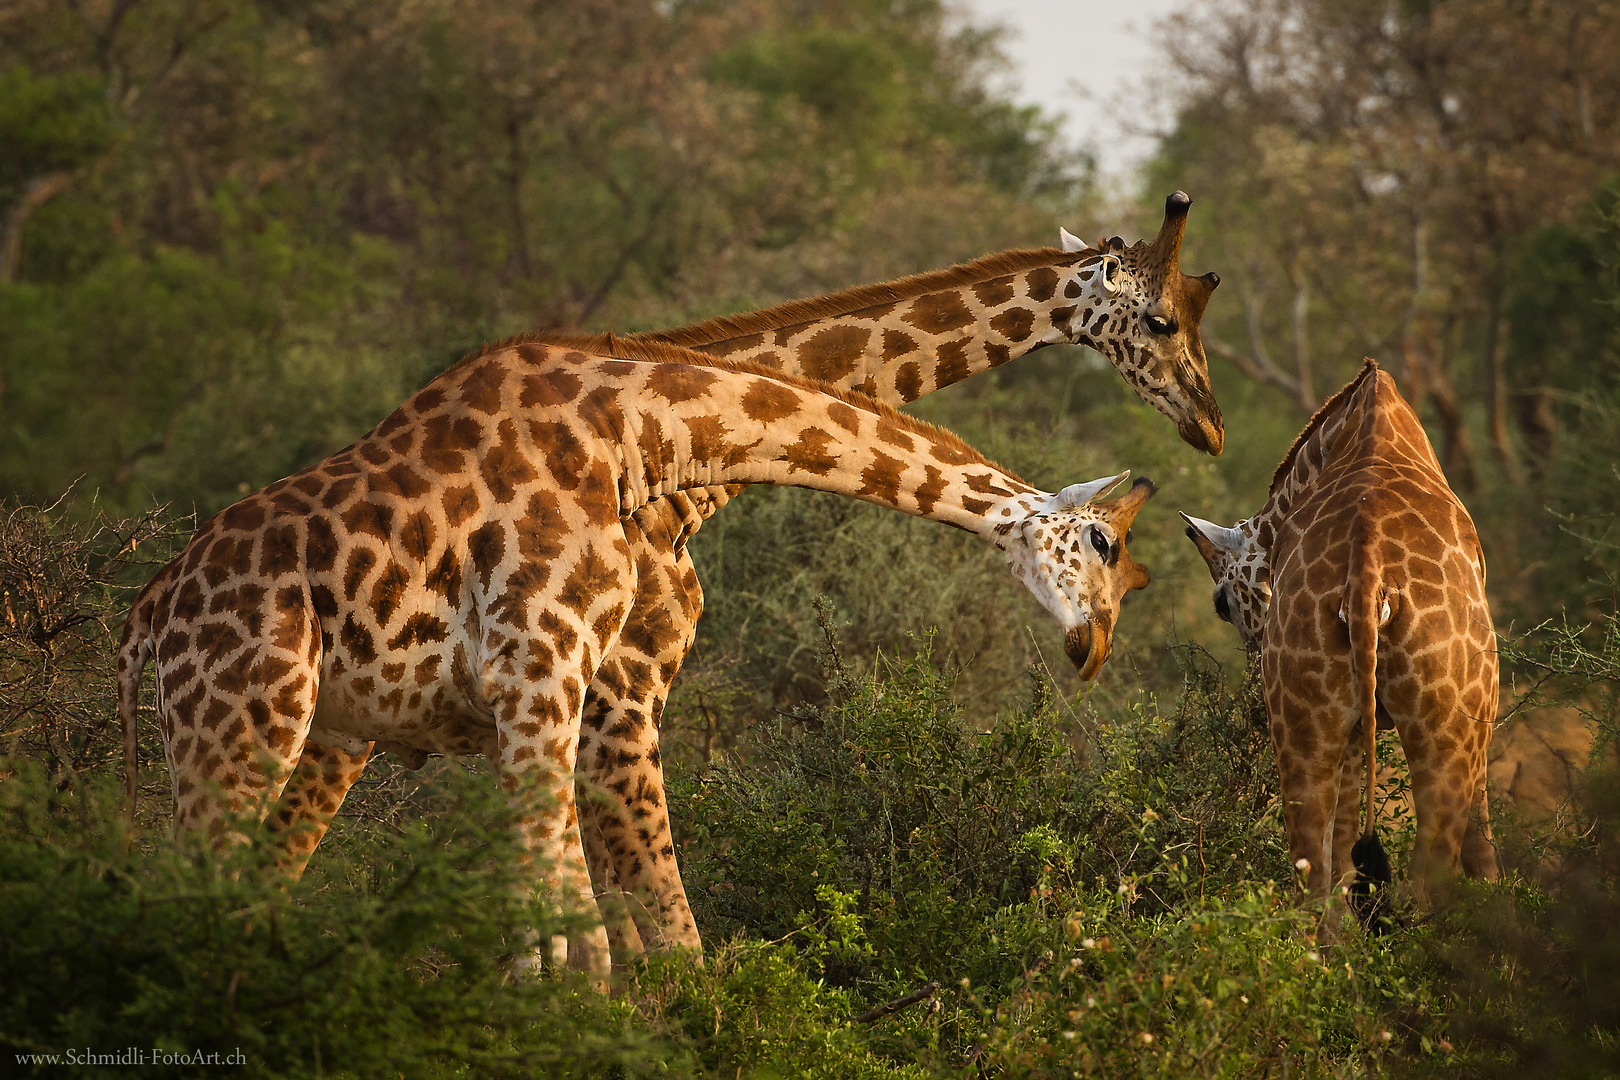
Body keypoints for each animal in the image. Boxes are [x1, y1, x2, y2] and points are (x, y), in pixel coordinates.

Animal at [119, 341, 1159, 984]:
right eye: (1105, 546)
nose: (1094, 650)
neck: (640, 431)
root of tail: (147, 614)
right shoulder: (541, 675)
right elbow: (571, 925)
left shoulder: (555, 695)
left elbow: (575, 919)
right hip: (246, 719)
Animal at [1179, 362, 1503, 913]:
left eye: (1221, 603)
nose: (1254, 671)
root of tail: (1367, 573)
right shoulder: (1481, 721)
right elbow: (1483, 851)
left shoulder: (1351, 723)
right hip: (1447, 732)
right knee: (1422, 876)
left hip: (1306, 727)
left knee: (1315, 876)